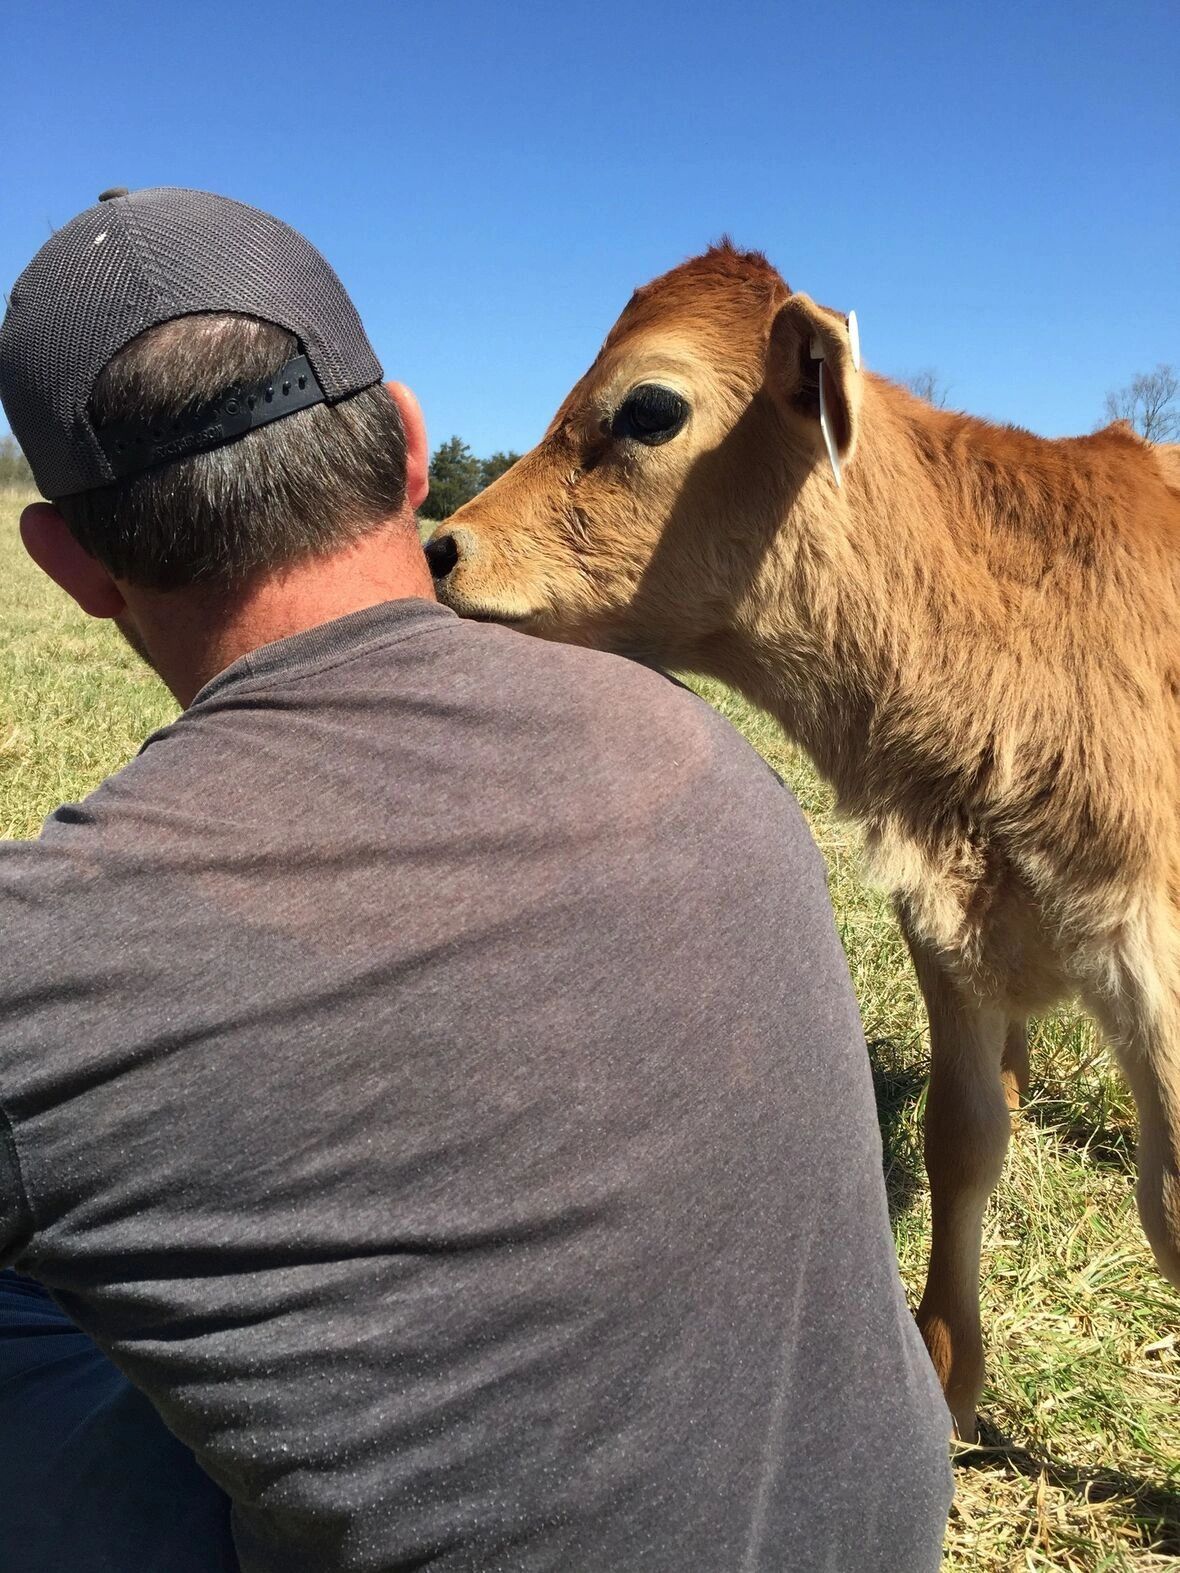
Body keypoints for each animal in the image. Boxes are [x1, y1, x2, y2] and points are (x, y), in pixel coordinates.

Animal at [423, 243, 1180, 1440]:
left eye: (648, 407)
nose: (442, 546)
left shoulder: (1150, 946)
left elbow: (1172, 1202)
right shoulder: (945, 925)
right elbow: (960, 1139)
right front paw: (947, 1369)